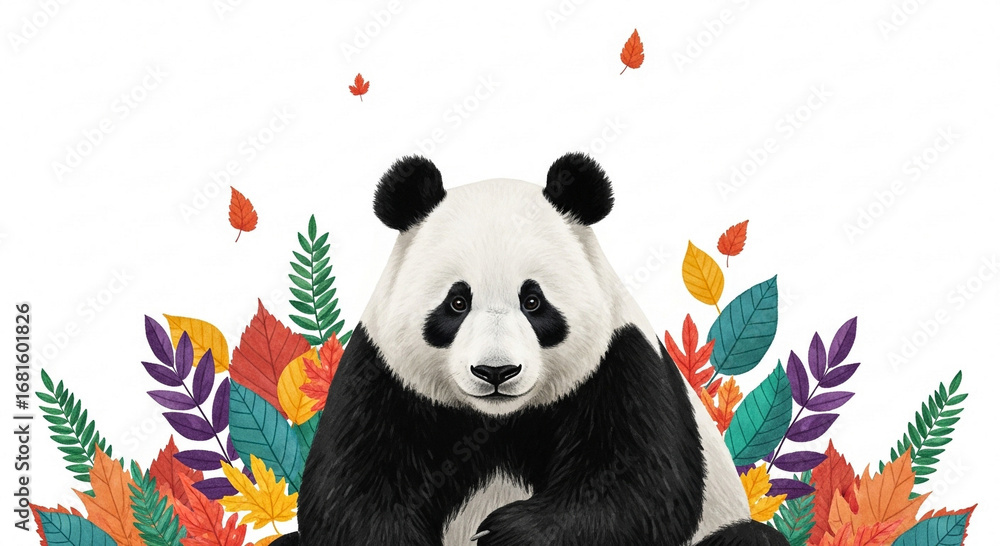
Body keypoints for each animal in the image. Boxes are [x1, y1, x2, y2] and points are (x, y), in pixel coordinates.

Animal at [276, 153, 788, 546]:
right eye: (457, 302)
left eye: (533, 300)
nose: (495, 372)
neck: (498, 421)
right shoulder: (383, 378)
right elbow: (353, 496)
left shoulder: (621, 362)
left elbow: (638, 487)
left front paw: (507, 532)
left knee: (748, 537)